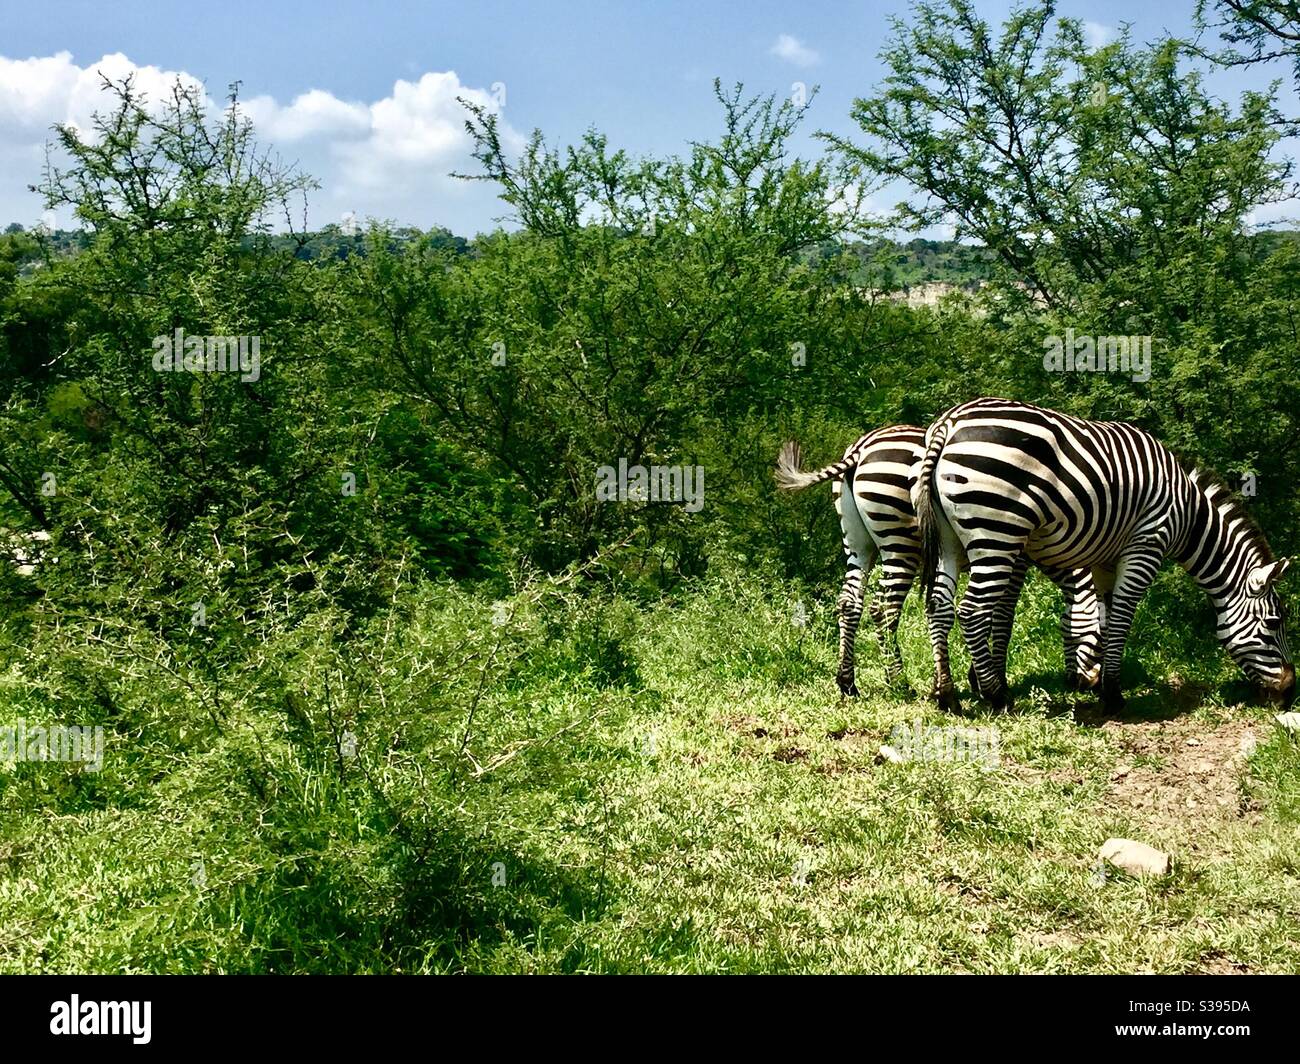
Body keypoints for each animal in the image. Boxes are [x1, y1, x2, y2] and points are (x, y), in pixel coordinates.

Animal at [774, 426, 1102, 702]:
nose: (1086, 685)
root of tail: (861, 448)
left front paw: (975, 677)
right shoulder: (1011, 554)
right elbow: (1001, 616)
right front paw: (991, 678)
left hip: (857, 543)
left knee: (849, 602)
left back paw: (847, 682)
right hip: (900, 543)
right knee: (884, 609)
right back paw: (899, 682)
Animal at [909, 398, 1294, 712]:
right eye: (1274, 623)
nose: (1290, 692)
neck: (1189, 516)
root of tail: (948, 423)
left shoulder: (1105, 558)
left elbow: (1104, 616)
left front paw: (1100, 685)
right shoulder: (1147, 544)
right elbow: (1122, 616)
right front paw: (1112, 694)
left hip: (951, 539)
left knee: (939, 604)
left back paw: (947, 695)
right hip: (998, 531)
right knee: (972, 610)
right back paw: (997, 696)